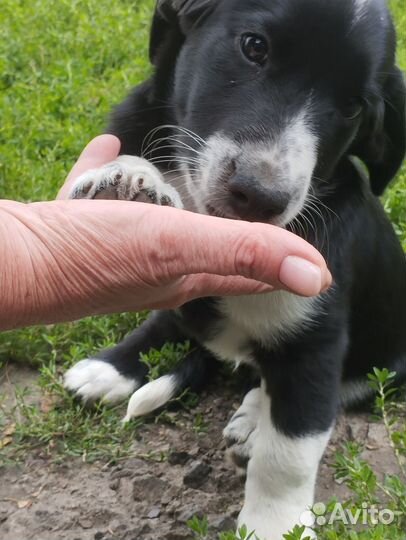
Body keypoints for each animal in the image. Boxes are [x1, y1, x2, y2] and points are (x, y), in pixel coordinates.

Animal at [63, 2, 406, 536]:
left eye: (353, 108)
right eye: (254, 47)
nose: (261, 197)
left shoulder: (315, 341)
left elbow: (288, 454)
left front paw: (274, 527)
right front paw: (129, 180)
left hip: (383, 362)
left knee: (322, 393)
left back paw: (250, 422)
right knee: (170, 325)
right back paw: (110, 369)